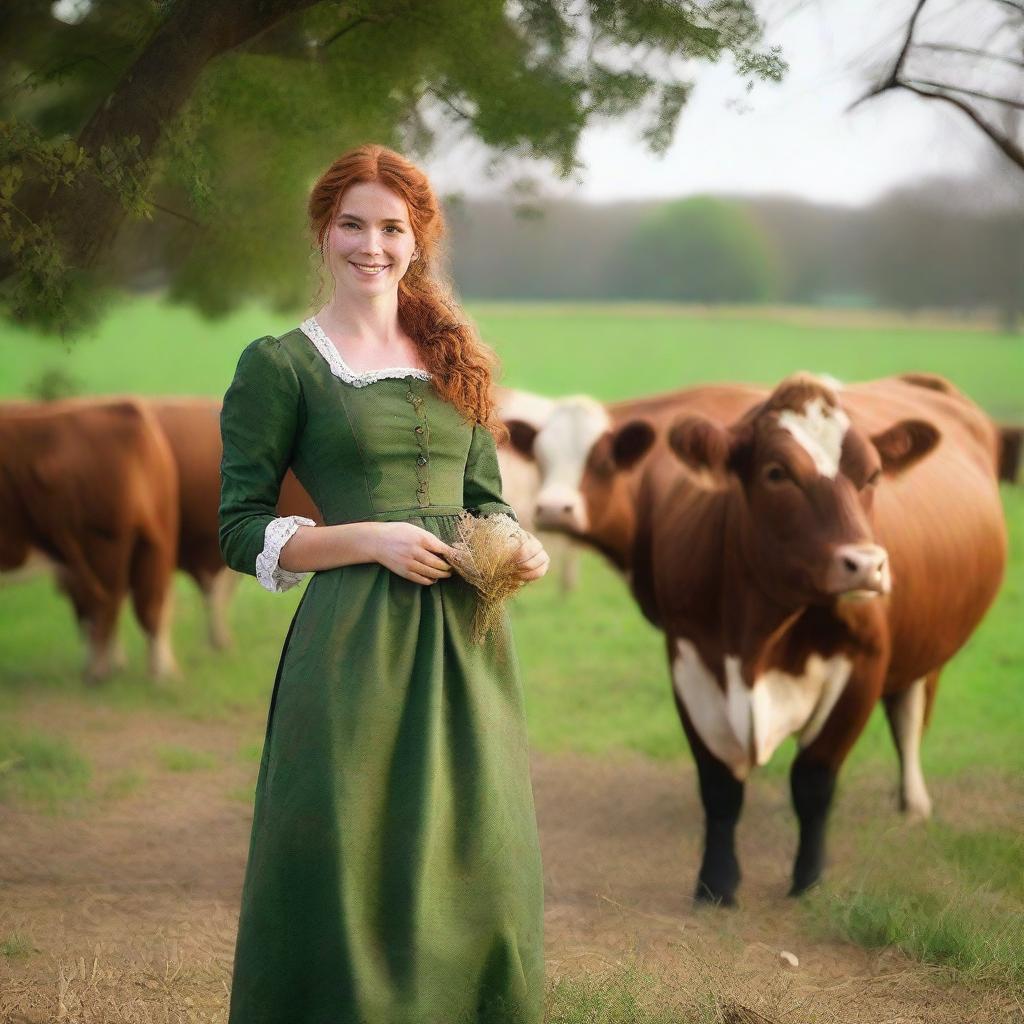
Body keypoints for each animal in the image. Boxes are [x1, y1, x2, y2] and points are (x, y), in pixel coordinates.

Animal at [593, 372, 1007, 901]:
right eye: (777, 473)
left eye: (872, 476)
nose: (866, 565)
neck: (756, 638)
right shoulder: (689, 663)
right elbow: (719, 785)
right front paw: (716, 883)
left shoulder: (862, 668)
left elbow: (813, 781)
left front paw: (808, 881)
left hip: (926, 647)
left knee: (909, 713)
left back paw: (913, 804)